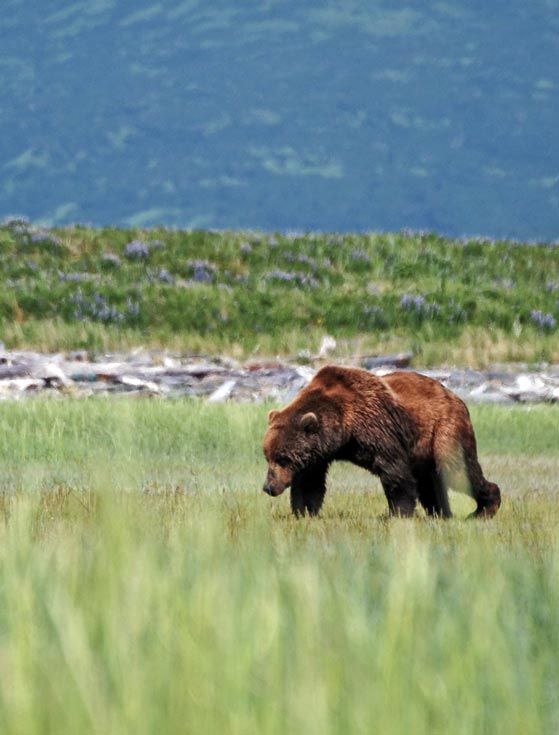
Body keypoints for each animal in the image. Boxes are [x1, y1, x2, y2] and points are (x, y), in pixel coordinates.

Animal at [262, 365, 501, 519]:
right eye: (268, 457)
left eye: (283, 458)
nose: (268, 487)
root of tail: (457, 398)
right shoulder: (319, 453)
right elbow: (309, 482)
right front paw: (303, 512)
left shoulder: (378, 428)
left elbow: (395, 473)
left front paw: (399, 513)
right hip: (423, 449)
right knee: (431, 481)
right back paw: (441, 513)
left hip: (444, 429)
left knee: (457, 471)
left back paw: (485, 508)